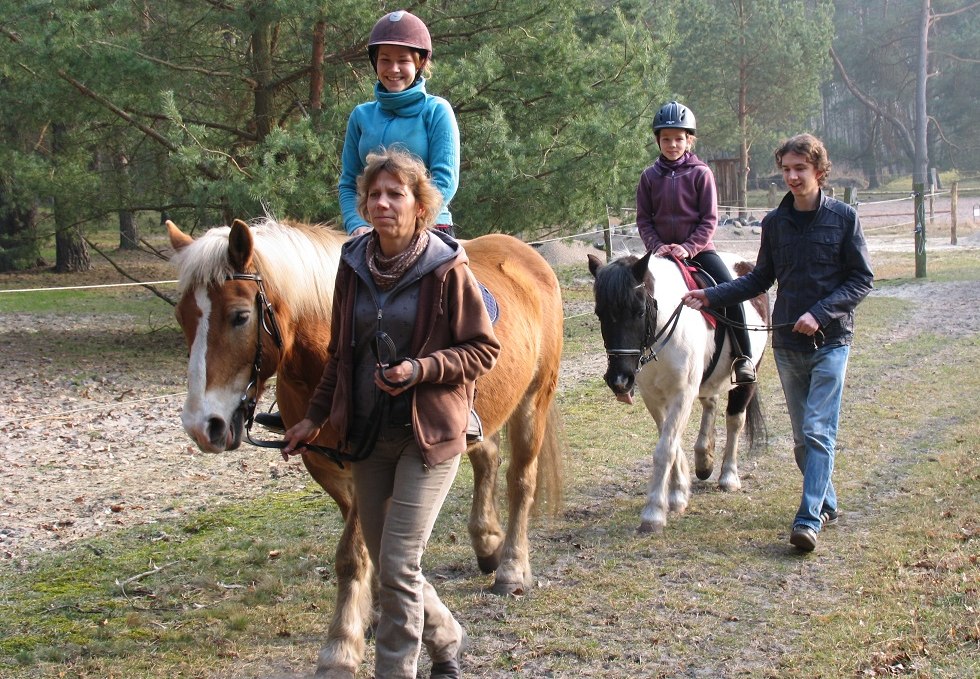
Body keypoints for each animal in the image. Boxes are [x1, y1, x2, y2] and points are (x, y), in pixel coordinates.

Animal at [167, 219, 564, 679]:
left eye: (240, 316)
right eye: (182, 317)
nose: (202, 426)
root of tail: (527, 253)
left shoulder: (365, 458)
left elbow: (353, 554)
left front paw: (340, 646)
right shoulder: (328, 465)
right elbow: (372, 546)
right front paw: (374, 615)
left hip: (534, 400)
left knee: (521, 480)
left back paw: (511, 569)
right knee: (487, 460)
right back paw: (487, 544)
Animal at [584, 252, 768, 532]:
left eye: (639, 311)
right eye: (599, 313)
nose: (619, 380)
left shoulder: (682, 394)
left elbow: (665, 449)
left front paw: (654, 514)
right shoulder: (653, 397)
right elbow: (670, 440)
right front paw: (678, 493)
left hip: (747, 378)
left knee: (735, 420)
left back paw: (728, 475)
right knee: (710, 402)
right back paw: (704, 459)